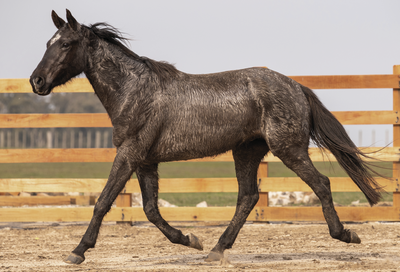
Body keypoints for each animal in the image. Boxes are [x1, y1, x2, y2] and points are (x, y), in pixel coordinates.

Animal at [28, 10, 382, 264]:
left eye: (65, 44)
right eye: (46, 43)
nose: (37, 81)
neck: (134, 91)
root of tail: (296, 86)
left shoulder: (129, 153)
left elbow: (103, 201)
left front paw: (77, 251)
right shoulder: (145, 161)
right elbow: (151, 210)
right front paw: (190, 240)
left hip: (288, 149)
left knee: (320, 183)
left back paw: (345, 234)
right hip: (247, 151)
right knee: (248, 196)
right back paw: (216, 249)